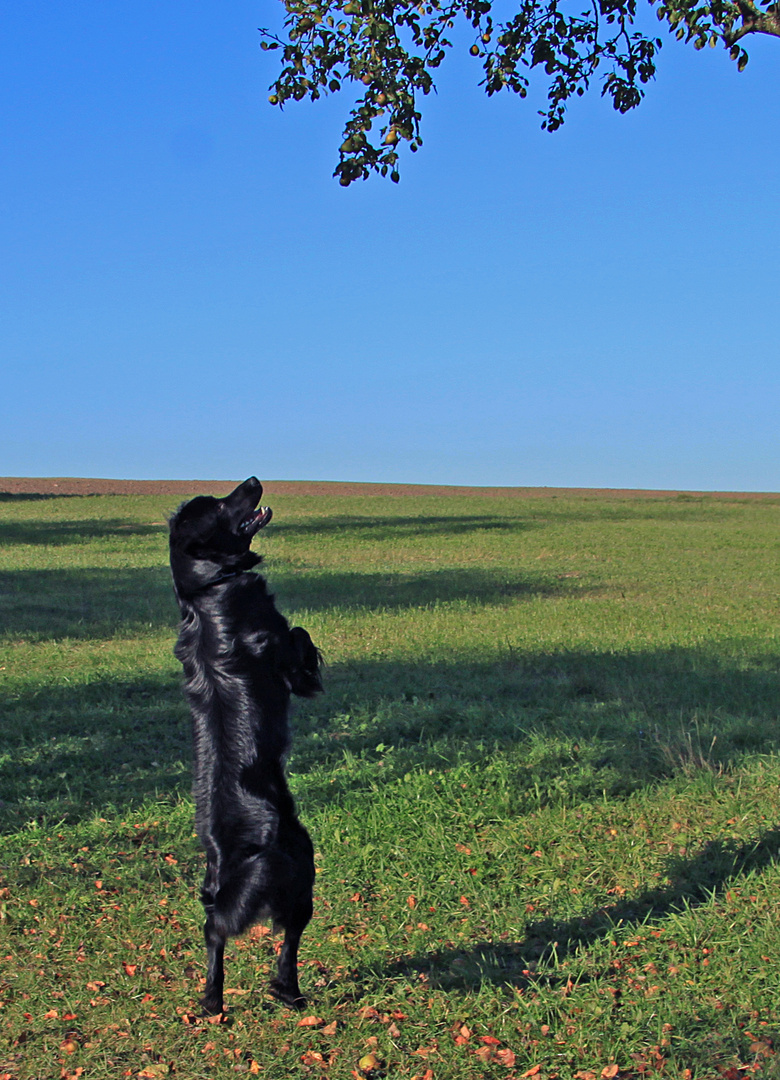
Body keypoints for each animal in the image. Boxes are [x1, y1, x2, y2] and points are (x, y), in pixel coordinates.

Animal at [167, 477, 321, 1006]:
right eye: (220, 505)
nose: (252, 480)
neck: (206, 592)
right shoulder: (279, 650)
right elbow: (299, 635)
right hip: (299, 867)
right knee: (278, 938)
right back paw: (285, 991)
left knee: (216, 932)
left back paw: (216, 1000)